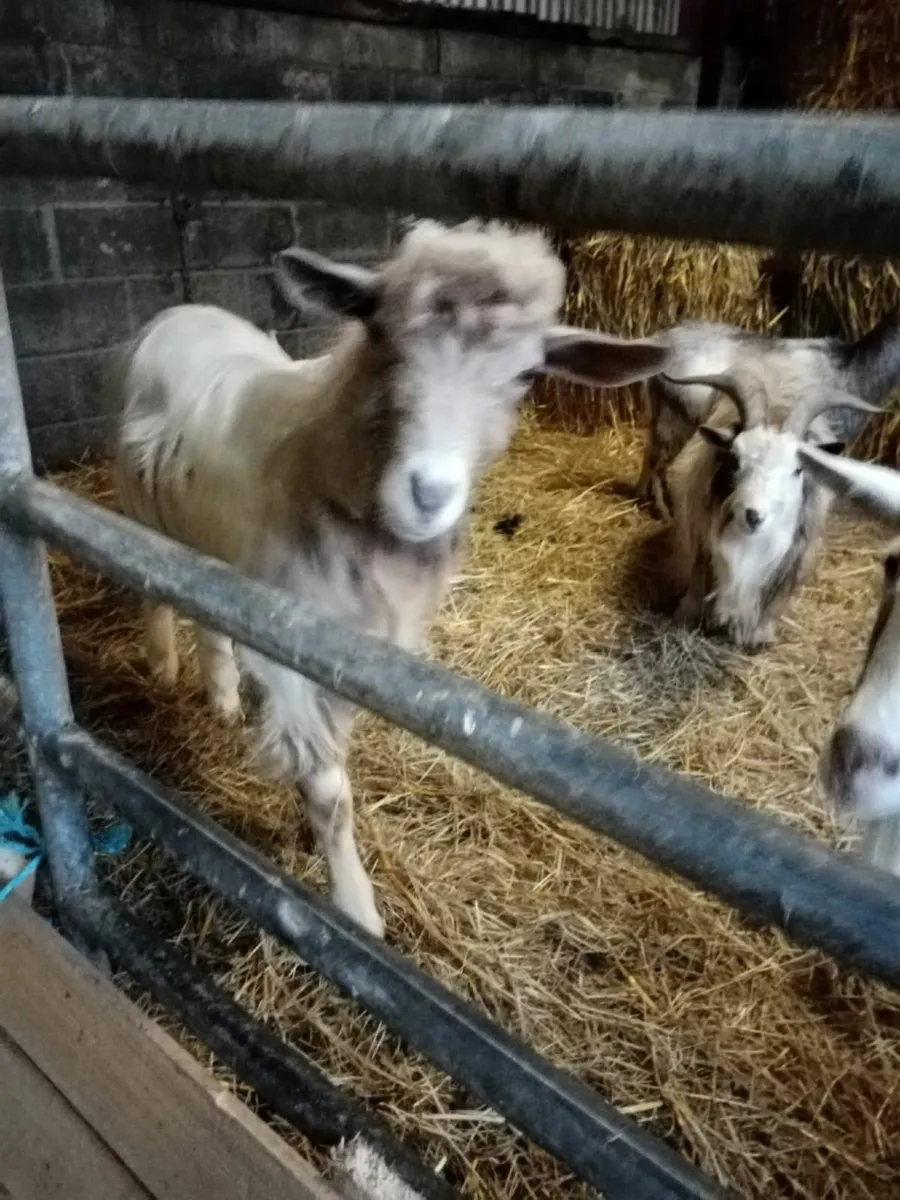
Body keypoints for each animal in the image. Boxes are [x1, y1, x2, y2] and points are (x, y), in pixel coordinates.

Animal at [114, 219, 671, 937]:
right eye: (384, 339)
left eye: (526, 375)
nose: (429, 493)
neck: (316, 463)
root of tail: (179, 312)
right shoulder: (293, 642)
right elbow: (330, 793)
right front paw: (356, 908)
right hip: (136, 499)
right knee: (150, 588)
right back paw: (161, 665)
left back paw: (223, 698)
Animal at [638, 311, 900, 520]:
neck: (854, 369)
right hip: (677, 414)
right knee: (658, 459)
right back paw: (662, 510)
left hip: (663, 411)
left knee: (652, 453)